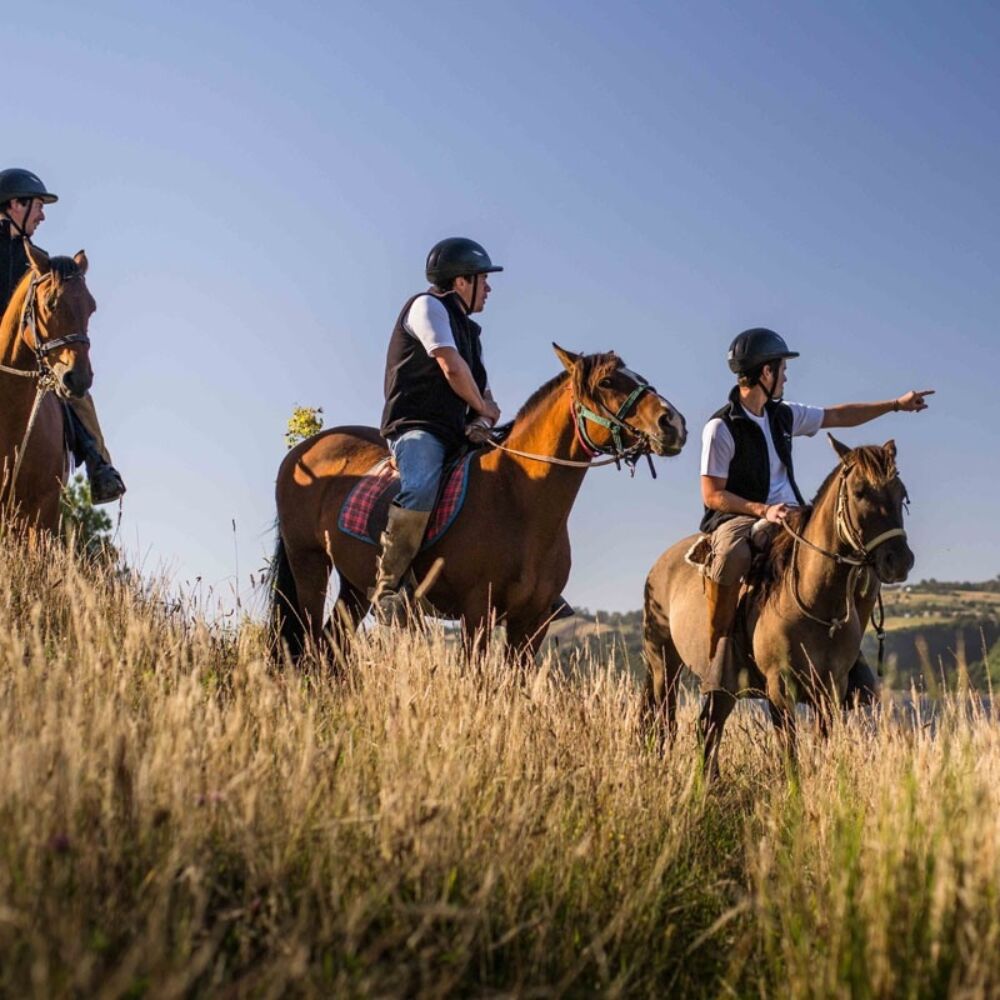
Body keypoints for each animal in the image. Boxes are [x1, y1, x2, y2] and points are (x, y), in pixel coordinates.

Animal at [272, 344, 688, 664]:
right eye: (606, 382)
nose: (674, 424)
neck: (518, 497)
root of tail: (304, 451)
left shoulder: (532, 622)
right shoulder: (477, 612)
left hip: (356, 587)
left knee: (331, 645)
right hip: (309, 565)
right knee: (310, 642)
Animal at [640, 436, 916, 772]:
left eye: (901, 493)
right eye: (859, 492)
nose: (899, 561)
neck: (817, 602)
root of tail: (659, 565)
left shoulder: (830, 689)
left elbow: (820, 749)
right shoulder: (780, 689)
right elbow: (790, 755)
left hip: (721, 686)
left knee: (708, 727)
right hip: (663, 666)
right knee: (665, 723)